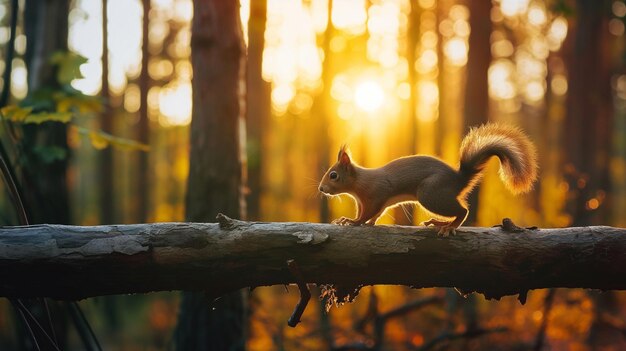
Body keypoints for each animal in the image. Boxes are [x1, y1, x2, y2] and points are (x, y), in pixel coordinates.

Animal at [316, 124, 536, 236]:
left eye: (333, 175)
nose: (321, 188)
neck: (359, 183)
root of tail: (459, 179)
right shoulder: (364, 201)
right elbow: (374, 214)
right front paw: (361, 221)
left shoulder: (376, 195)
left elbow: (368, 213)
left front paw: (353, 221)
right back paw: (438, 222)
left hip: (430, 194)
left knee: (462, 211)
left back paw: (449, 227)